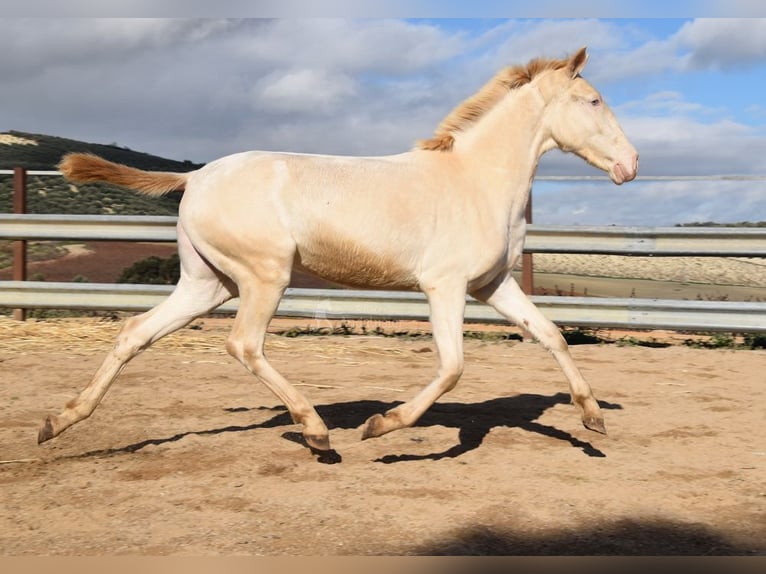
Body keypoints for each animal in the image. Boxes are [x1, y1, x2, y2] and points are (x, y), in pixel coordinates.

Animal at [40, 47, 640, 456]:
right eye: (593, 100)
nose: (631, 164)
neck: (476, 179)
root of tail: (196, 177)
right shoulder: (444, 286)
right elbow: (452, 367)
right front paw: (384, 424)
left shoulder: (492, 284)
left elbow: (551, 334)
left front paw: (592, 419)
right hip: (263, 276)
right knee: (244, 345)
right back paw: (316, 431)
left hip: (208, 282)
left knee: (135, 332)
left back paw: (59, 421)